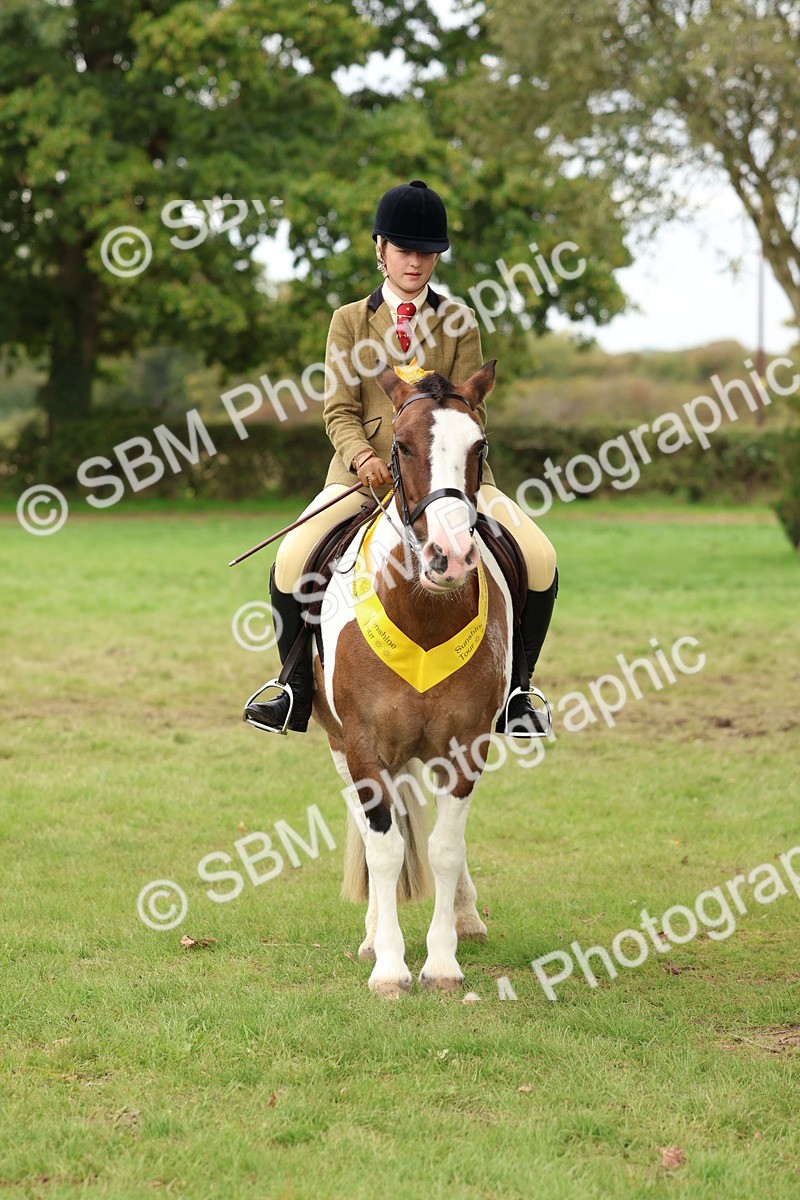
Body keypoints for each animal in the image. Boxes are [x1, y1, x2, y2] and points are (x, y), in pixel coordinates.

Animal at [310, 360, 515, 997]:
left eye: (480, 446)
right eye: (400, 446)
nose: (449, 557)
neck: (423, 609)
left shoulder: (467, 744)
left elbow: (446, 848)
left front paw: (443, 962)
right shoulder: (362, 744)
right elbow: (384, 850)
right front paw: (390, 967)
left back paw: (466, 917)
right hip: (339, 743)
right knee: (371, 827)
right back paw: (374, 934)